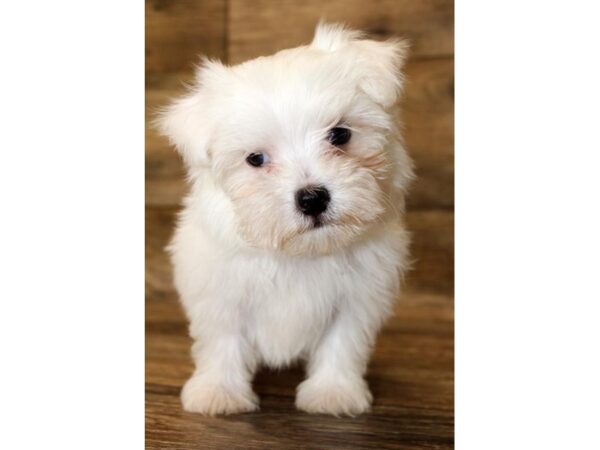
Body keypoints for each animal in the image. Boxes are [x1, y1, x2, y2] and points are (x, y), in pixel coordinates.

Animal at [157, 22, 414, 416]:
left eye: (340, 134)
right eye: (255, 159)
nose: (312, 198)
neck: (300, 253)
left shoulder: (358, 297)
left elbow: (343, 342)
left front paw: (332, 393)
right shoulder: (219, 290)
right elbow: (221, 341)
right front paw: (218, 392)